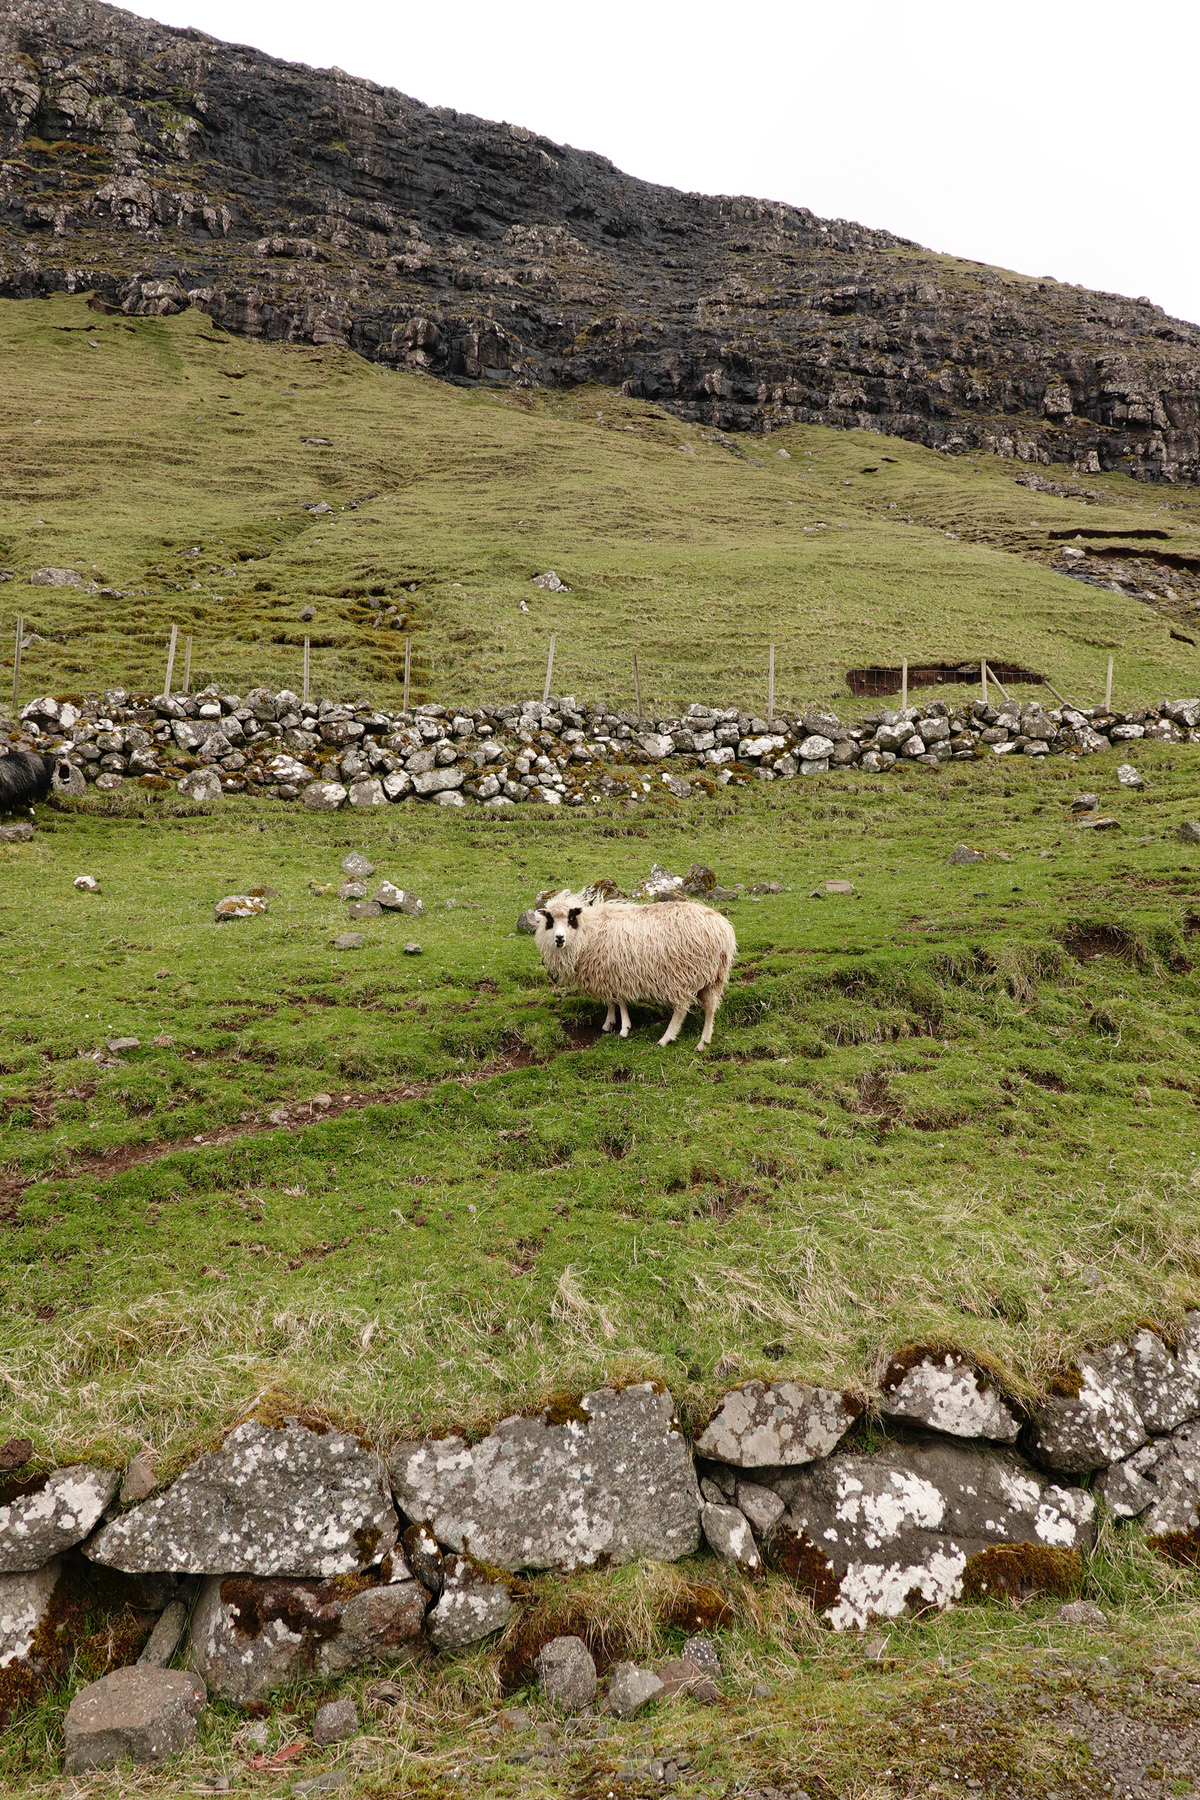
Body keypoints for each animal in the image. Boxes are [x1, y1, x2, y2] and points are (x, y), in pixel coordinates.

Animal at [532, 892, 737, 1051]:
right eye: (550, 920)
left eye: (571, 919)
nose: (559, 938)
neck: (589, 932)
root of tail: (723, 930)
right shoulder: (608, 973)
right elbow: (611, 1000)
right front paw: (609, 1022)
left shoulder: (617, 973)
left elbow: (620, 1001)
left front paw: (624, 1028)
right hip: (713, 976)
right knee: (711, 1007)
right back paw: (703, 1042)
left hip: (684, 974)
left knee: (681, 1009)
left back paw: (666, 1038)